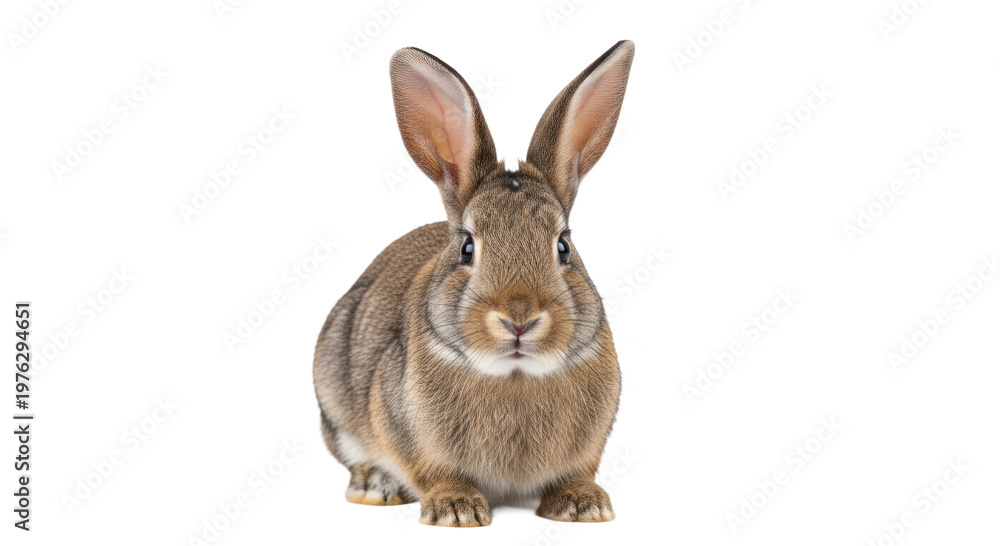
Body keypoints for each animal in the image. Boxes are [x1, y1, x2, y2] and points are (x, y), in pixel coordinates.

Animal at [313, 40, 634, 527]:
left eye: (563, 246)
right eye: (467, 247)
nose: (519, 319)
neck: (515, 376)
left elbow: (576, 473)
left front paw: (584, 506)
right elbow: (437, 474)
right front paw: (456, 510)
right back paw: (376, 486)